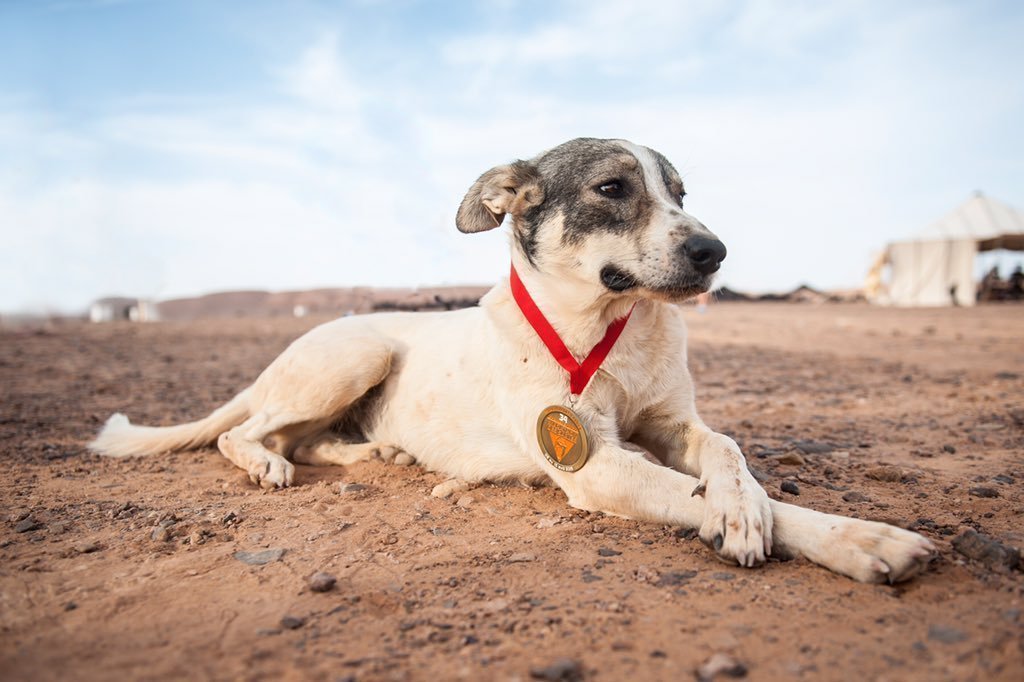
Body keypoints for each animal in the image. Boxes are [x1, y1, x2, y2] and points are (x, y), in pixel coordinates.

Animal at [90, 137, 937, 577]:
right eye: (612, 187)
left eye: (681, 193)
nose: (714, 251)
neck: (606, 326)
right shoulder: (594, 463)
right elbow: (705, 495)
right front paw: (860, 539)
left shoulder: (673, 423)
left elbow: (726, 450)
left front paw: (743, 501)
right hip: (357, 353)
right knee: (247, 433)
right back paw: (271, 462)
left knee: (307, 438)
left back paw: (377, 453)